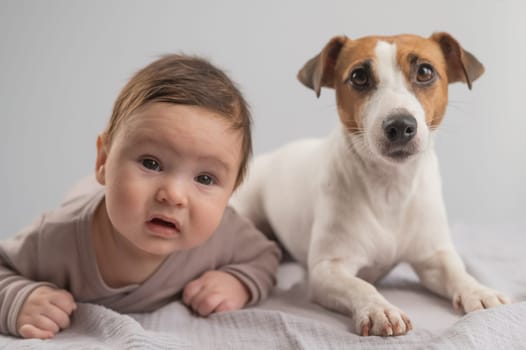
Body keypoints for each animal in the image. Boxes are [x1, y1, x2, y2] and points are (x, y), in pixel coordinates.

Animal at [231, 32, 512, 336]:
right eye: (359, 76)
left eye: (425, 72)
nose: (399, 125)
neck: (390, 187)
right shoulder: (328, 269)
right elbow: (360, 285)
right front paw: (380, 309)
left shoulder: (432, 256)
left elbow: (457, 271)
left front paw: (479, 291)